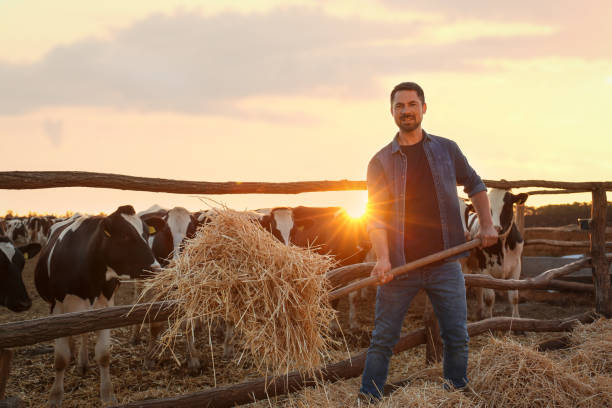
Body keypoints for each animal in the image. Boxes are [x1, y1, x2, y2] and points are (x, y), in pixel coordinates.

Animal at [34, 206, 161, 406]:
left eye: (147, 234)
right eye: (125, 235)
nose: (156, 268)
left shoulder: (105, 306)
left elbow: (103, 354)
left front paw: (107, 394)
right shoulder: (58, 308)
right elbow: (60, 359)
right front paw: (55, 397)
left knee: (84, 333)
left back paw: (83, 363)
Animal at [456, 190, 528, 320]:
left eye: (507, 205)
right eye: (487, 208)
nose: (496, 228)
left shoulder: (516, 266)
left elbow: (514, 297)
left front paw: (516, 320)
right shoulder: (484, 268)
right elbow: (490, 298)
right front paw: (489, 319)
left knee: (478, 287)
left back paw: (480, 312)